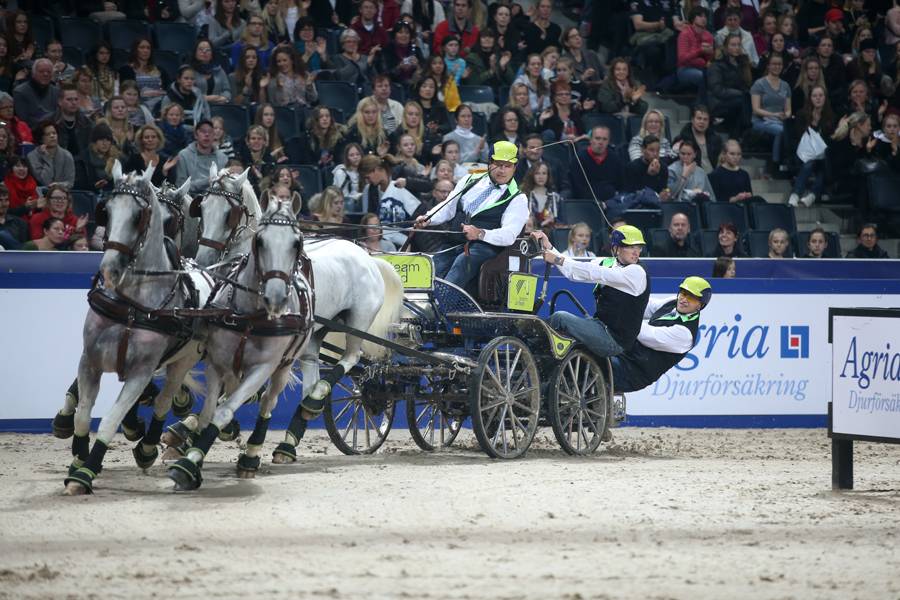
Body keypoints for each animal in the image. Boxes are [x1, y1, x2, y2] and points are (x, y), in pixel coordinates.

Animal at [63, 162, 210, 495]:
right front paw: (78, 459)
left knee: (164, 401)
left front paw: (85, 473)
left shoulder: (142, 371)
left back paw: (149, 446)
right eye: (105, 211)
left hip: (184, 360)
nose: (109, 268)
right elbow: (82, 415)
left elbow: (111, 419)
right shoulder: (89, 361)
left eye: (138, 216)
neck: (131, 305)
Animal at [167, 192, 314, 490]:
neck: (249, 316)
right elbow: (209, 412)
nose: (276, 298)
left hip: (283, 367)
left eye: (297, 243)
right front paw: (193, 454)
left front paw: (188, 465)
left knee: (268, 402)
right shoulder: (216, 363)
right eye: (260, 240)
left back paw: (251, 455)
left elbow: (225, 411)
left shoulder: (263, 369)